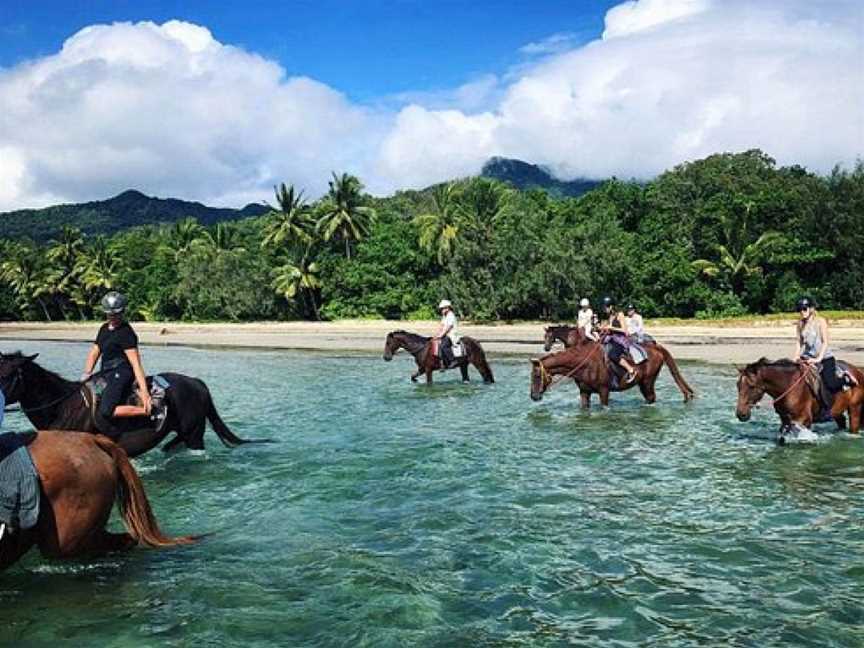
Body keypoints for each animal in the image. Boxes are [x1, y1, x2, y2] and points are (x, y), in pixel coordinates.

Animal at [528, 336, 696, 408]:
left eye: (537, 375)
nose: (534, 396)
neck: (584, 364)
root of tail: (656, 347)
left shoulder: (604, 390)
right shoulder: (584, 392)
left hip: (647, 382)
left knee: (651, 398)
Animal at [736, 354, 864, 440]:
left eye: (751, 386)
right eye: (738, 385)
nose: (741, 414)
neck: (788, 385)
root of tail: (858, 372)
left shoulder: (803, 420)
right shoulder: (785, 419)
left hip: (855, 409)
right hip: (837, 411)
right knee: (841, 421)